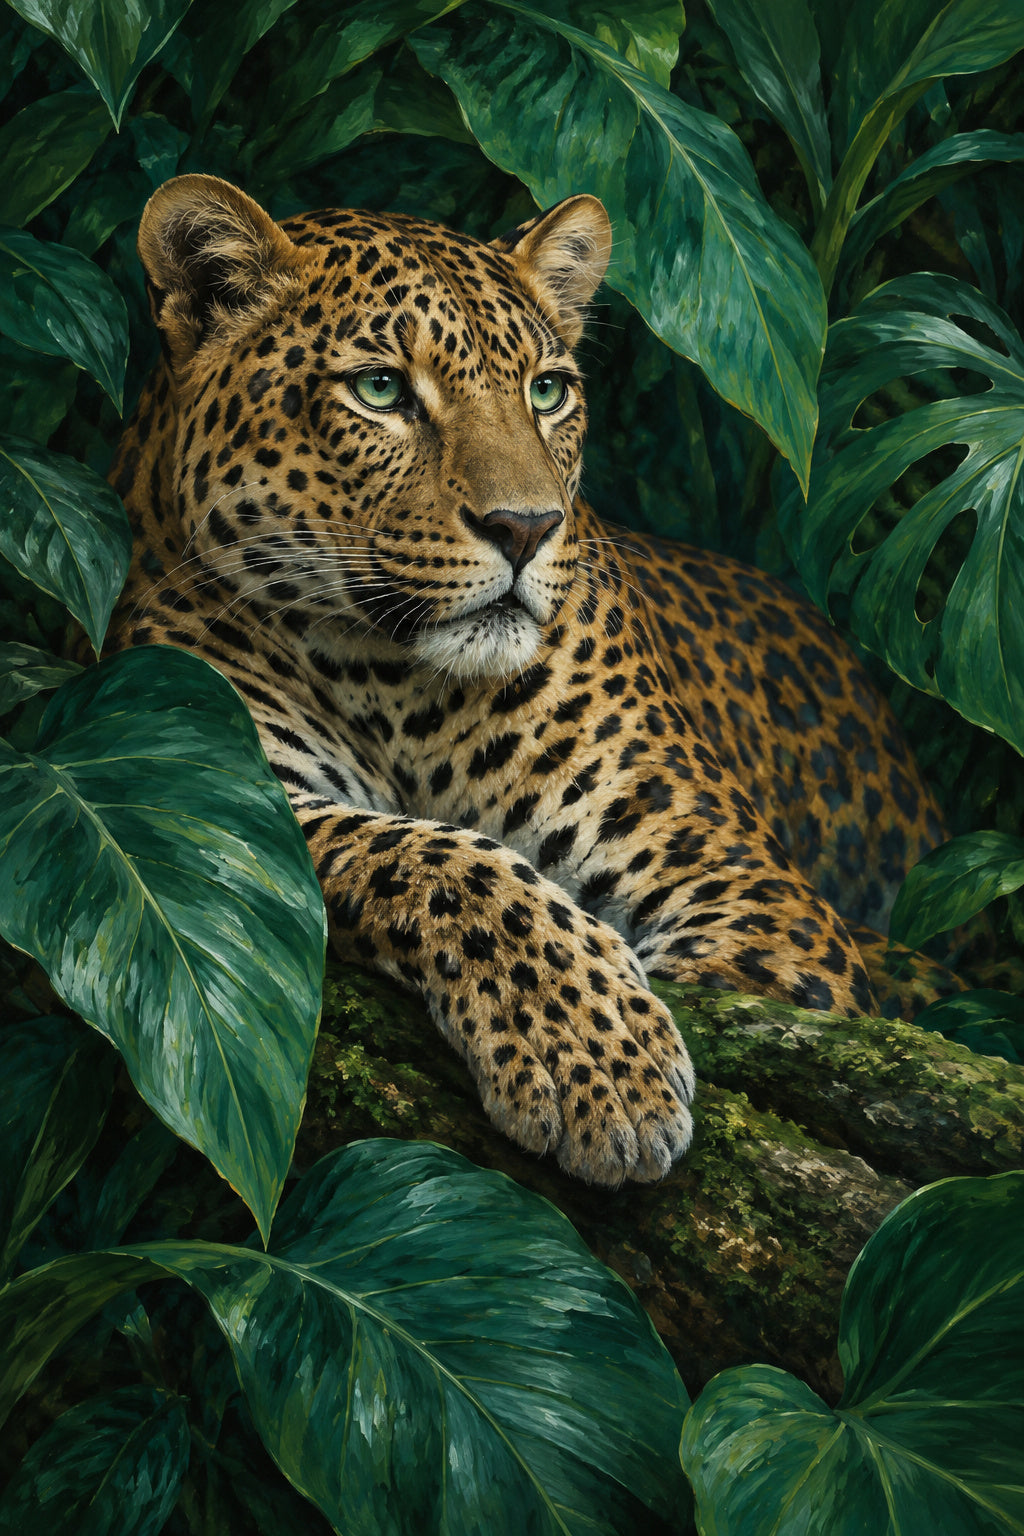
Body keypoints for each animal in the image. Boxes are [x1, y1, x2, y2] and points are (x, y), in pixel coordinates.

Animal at [106, 173, 948, 1188]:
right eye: (380, 389)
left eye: (546, 391)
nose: (526, 526)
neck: (396, 684)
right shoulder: (216, 785)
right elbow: (435, 858)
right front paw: (594, 1050)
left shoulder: (747, 892)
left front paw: (602, 1057)